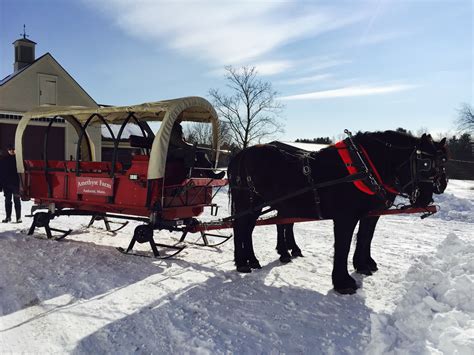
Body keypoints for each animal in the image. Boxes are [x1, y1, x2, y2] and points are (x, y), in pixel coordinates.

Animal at [229, 131, 448, 294]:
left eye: (443, 162)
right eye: (425, 163)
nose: (429, 196)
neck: (363, 166)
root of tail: (242, 153)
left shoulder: (370, 213)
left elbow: (365, 238)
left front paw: (364, 265)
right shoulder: (346, 217)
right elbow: (343, 246)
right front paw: (343, 282)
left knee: (249, 229)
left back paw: (254, 259)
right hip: (249, 203)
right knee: (241, 228)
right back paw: (242, 262)